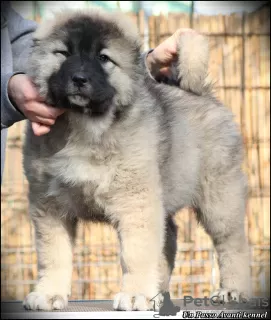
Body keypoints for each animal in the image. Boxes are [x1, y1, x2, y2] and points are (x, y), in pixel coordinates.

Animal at [22, 8, 252, 312]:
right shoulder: (49, 205)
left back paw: (232, 289)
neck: (85, 127)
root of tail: (202, 93)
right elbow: (54, 254)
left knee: (232, 243)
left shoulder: (135, 201)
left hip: (219, 197)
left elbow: (136, 253)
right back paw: (160, 291)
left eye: (103, 58)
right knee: (169, 239)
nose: (79, 78)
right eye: (63, 53)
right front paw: (49, 294)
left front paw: (134, 295)